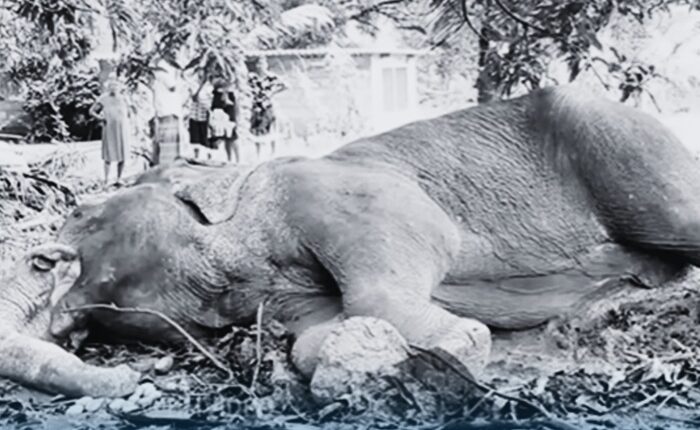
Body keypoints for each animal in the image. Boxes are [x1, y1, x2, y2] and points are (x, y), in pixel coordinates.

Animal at [5, 84, 700, 397]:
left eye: (82, 211)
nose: (137, 383)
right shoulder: (282, 299)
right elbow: (310, 335)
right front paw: (357, 354)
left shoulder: (330, 187)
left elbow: (410, 240)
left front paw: (461, 341)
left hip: (623, 144)